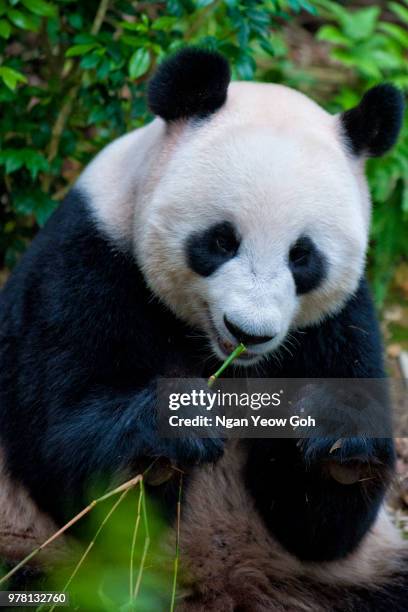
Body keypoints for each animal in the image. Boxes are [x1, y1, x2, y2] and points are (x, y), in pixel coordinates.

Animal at [0, 46, 406, 608]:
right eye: (221, 241)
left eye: (302, 256)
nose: (249, 332)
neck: (219, 359)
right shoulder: (87, 259)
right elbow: (66, 453)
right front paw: (178, 424)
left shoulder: (343, 318)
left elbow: (323, 530)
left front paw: (339, 443)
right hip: (37, 549)